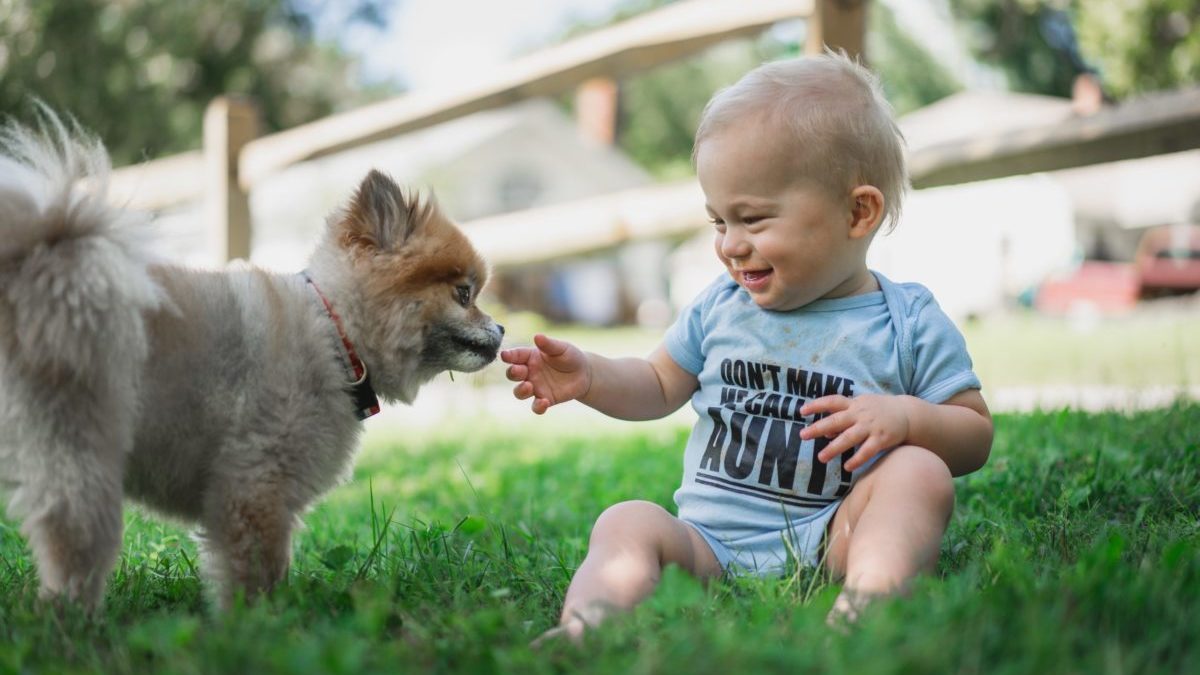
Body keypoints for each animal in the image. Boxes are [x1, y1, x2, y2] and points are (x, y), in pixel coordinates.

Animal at [0, 112, 504, 607]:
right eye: (464, 294)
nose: (501, 329)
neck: (335, 333)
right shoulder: (256, 483)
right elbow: (258, 568)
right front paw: (260, 621)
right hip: (80, 446)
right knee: (76, 539)